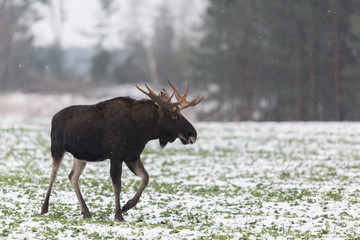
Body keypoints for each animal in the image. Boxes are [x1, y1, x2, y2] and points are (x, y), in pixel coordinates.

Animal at [40, 80, 204, 221]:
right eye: (174, 115)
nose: (193, 134)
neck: (143, 131)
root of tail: (53, 117)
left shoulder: (132, 156)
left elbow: (146, 177)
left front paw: (126, 206)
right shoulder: (116, 155)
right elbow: (117, 186)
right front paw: (118, 215)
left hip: (81, 155)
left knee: (72, 176)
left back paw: (86, 211)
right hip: (57, 147)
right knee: (53, 174)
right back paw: (44, 208)